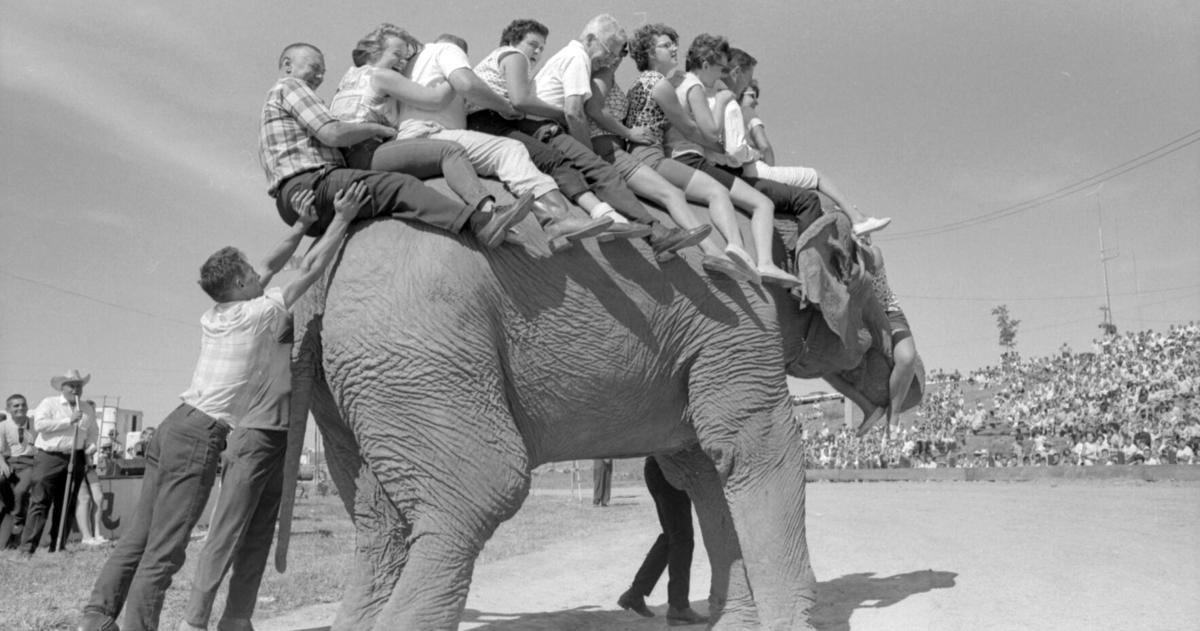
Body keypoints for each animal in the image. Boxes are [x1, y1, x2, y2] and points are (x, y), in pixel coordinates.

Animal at [272, 183, 924, 631]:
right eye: (873, 279)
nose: (915, 387)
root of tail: (320, 269)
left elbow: (704, 469)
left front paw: (734, 622)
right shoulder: (739, 312)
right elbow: (755, 450)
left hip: (366, 378)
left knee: (380, 525)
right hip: (421, 348)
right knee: (479, 495)